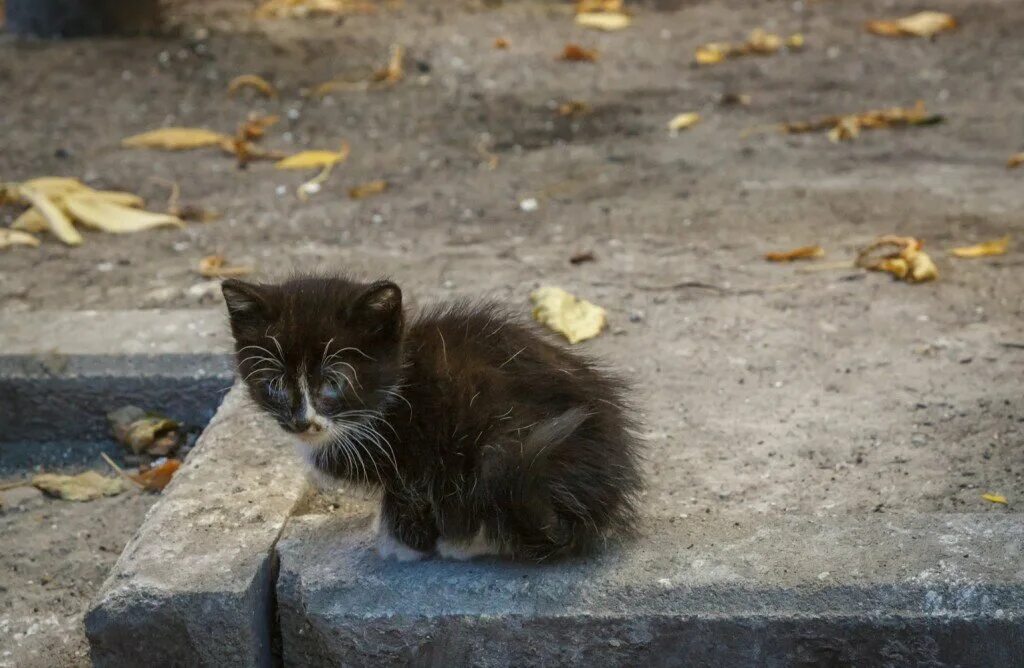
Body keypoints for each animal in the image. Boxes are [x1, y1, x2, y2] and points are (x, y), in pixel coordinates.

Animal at [223, 274, 638, 561]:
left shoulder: (418, 453)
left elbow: (408, 495)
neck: (396, 390)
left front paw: (399, 544)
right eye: (275, 382)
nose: (301, 422)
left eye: (334, 382)